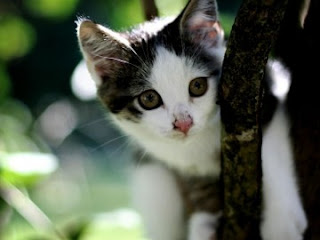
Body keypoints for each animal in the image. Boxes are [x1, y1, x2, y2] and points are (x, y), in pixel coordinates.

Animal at [77, 0, 308, 240]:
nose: (183, 123)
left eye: (198, 86)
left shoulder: (269, 91)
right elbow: (194, 180)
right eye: (149, 99)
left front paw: (281, 222)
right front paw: (204, 220)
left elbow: (271, 151)